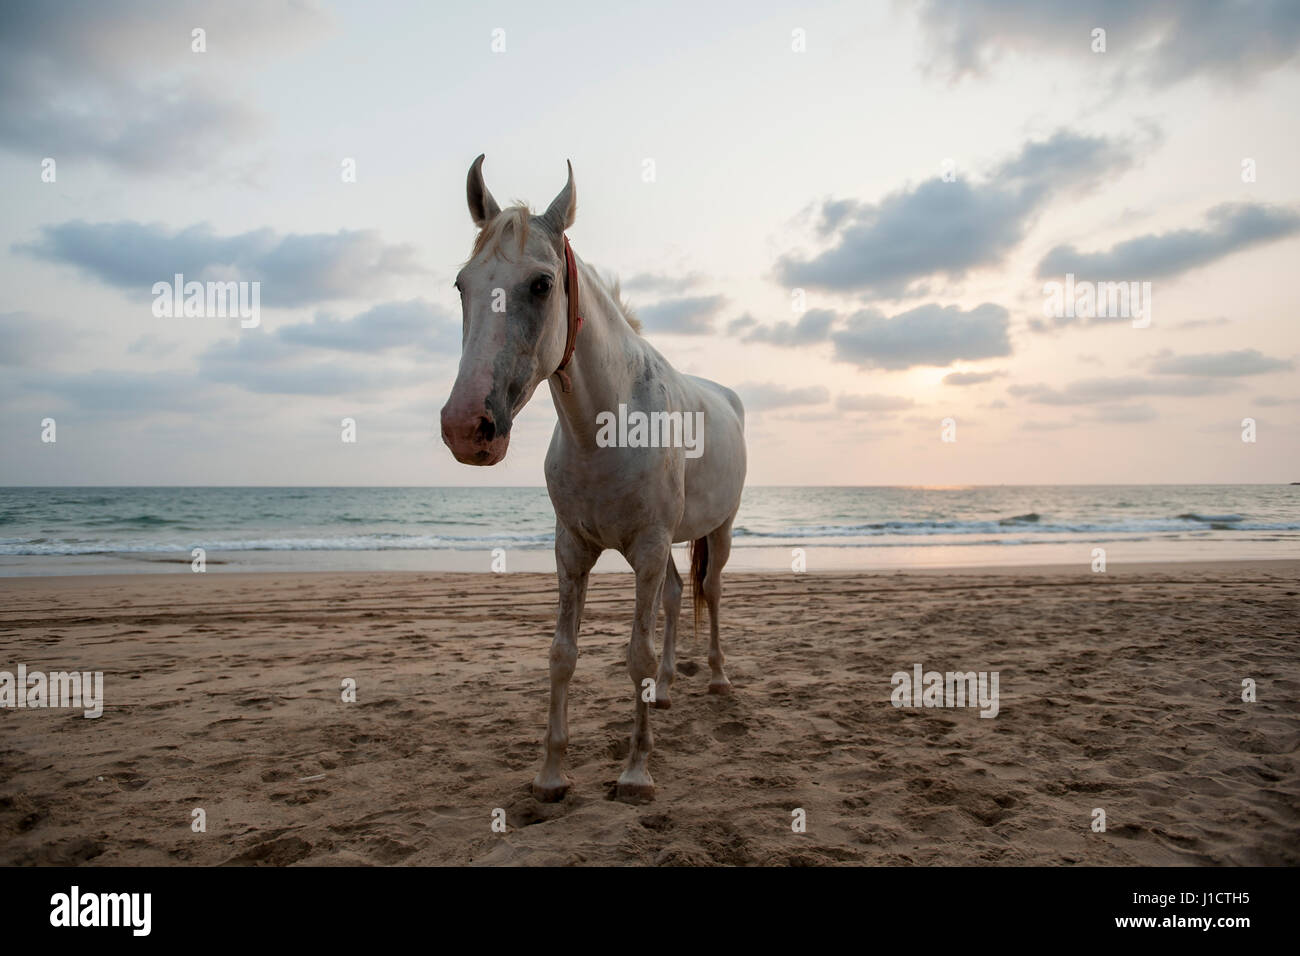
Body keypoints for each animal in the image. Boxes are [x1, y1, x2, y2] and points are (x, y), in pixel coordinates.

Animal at [440, 155, 747, 803]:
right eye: (461, 284)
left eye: (541, 284)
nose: (466, 428)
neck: (606, 427)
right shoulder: (573, 549)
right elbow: (563, 653)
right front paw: (551, 776)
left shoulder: (649, 547)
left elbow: (636, 654)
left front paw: (636, 772)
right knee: (678, 596)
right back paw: (668, 691)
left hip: (720, 530)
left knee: (710, 592)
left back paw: (716, 679)